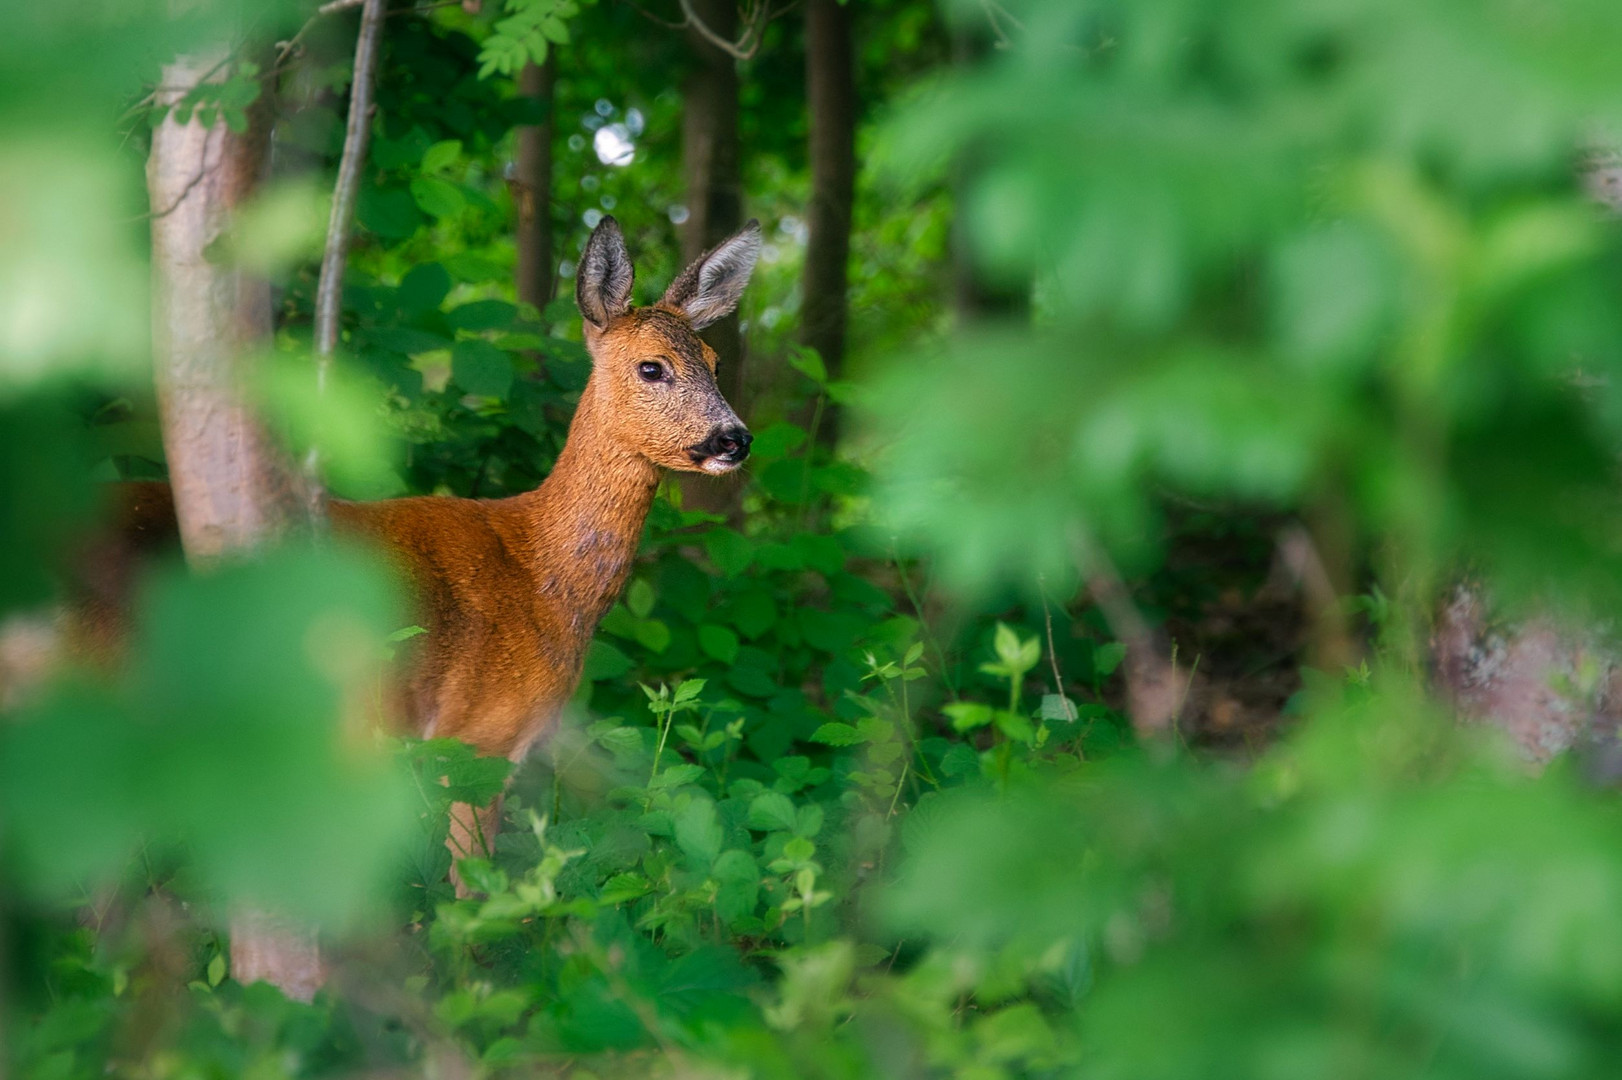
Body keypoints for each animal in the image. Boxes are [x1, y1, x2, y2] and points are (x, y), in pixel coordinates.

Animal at [79, 212, 755, 882]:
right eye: (652, 367)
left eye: (717, 363)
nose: (735, 438)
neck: (541, 574)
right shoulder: (481, 736)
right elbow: (472, 886)